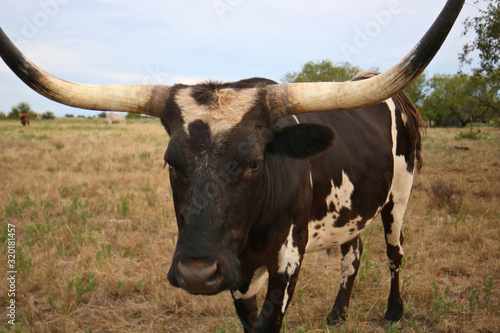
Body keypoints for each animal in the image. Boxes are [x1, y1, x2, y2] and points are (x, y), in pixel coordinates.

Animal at [0, 1, 464, 330]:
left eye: (255, 163)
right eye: (171, 162)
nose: (195, 273)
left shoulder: (287, 262)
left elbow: (268, 323)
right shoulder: (236, 274)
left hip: (398, 198)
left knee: (395, 252)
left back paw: (393, 312)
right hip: (352, 209)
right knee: (353, 253)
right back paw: (337, 314)